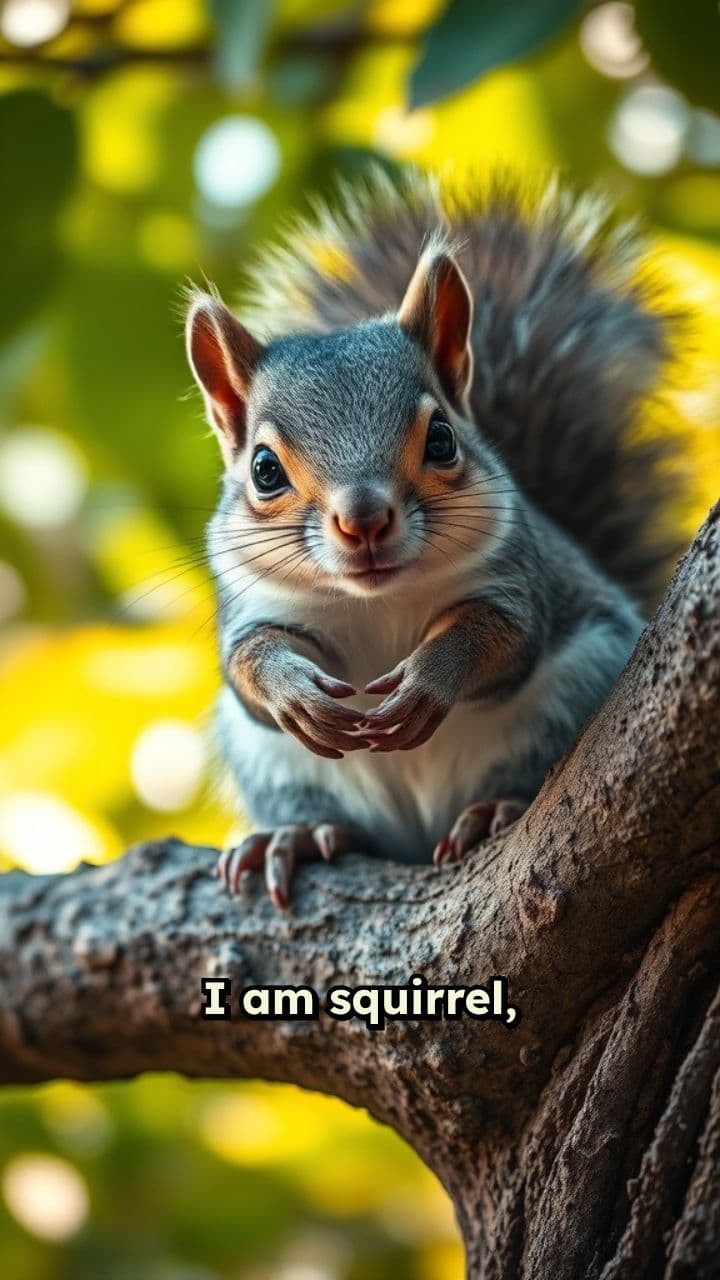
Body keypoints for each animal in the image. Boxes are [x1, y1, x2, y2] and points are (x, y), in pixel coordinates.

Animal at [184, 170, 682, 911]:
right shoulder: (252, 605)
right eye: (264, 470)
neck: (377, 600)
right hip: (274, 765)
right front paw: (291, 691)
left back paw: (494, 810)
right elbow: (249, 664)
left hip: (569, 696)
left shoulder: (516, 579)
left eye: (442, 438)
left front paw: (429, 678)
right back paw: (297, 836)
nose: (363, 519)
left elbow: (502, 638)